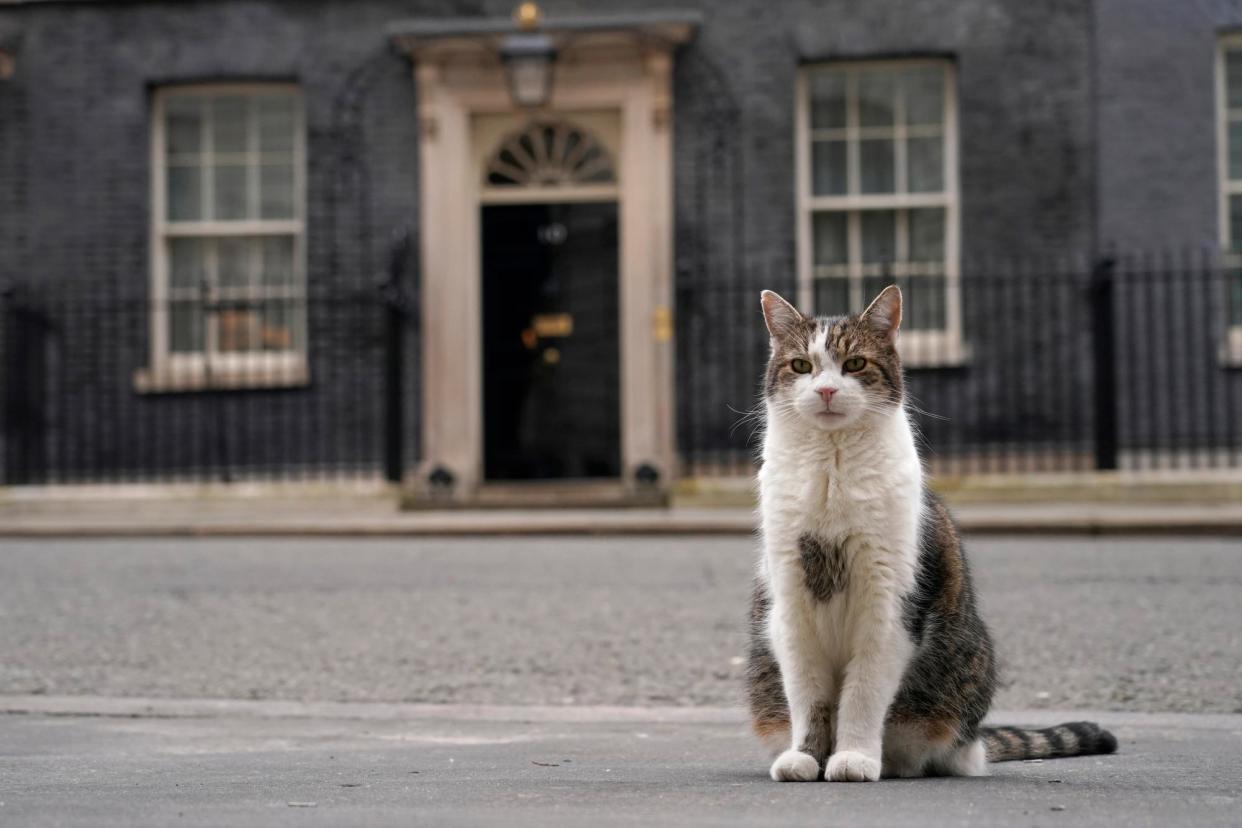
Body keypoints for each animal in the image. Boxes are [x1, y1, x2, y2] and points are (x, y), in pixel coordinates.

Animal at [745, 286, 1117, 784]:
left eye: (855, 364)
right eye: (801, 366)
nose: (825, 390)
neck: (831, 468)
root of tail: (975, 741)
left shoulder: (889, 605)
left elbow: (863, 693)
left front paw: (855, 757)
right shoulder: (790, 602)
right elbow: (808, 695)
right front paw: (805, 757)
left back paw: (892, 761)